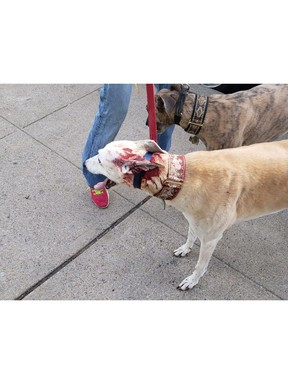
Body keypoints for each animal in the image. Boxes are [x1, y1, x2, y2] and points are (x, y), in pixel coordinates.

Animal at [84, 140, 288, 290]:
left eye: (100, 160)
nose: (84, 162)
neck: (182, 177)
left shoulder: (211, 239)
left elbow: (200, 265)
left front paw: (192, 281)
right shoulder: (194, 220)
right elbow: (191, 235)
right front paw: (185, 249)